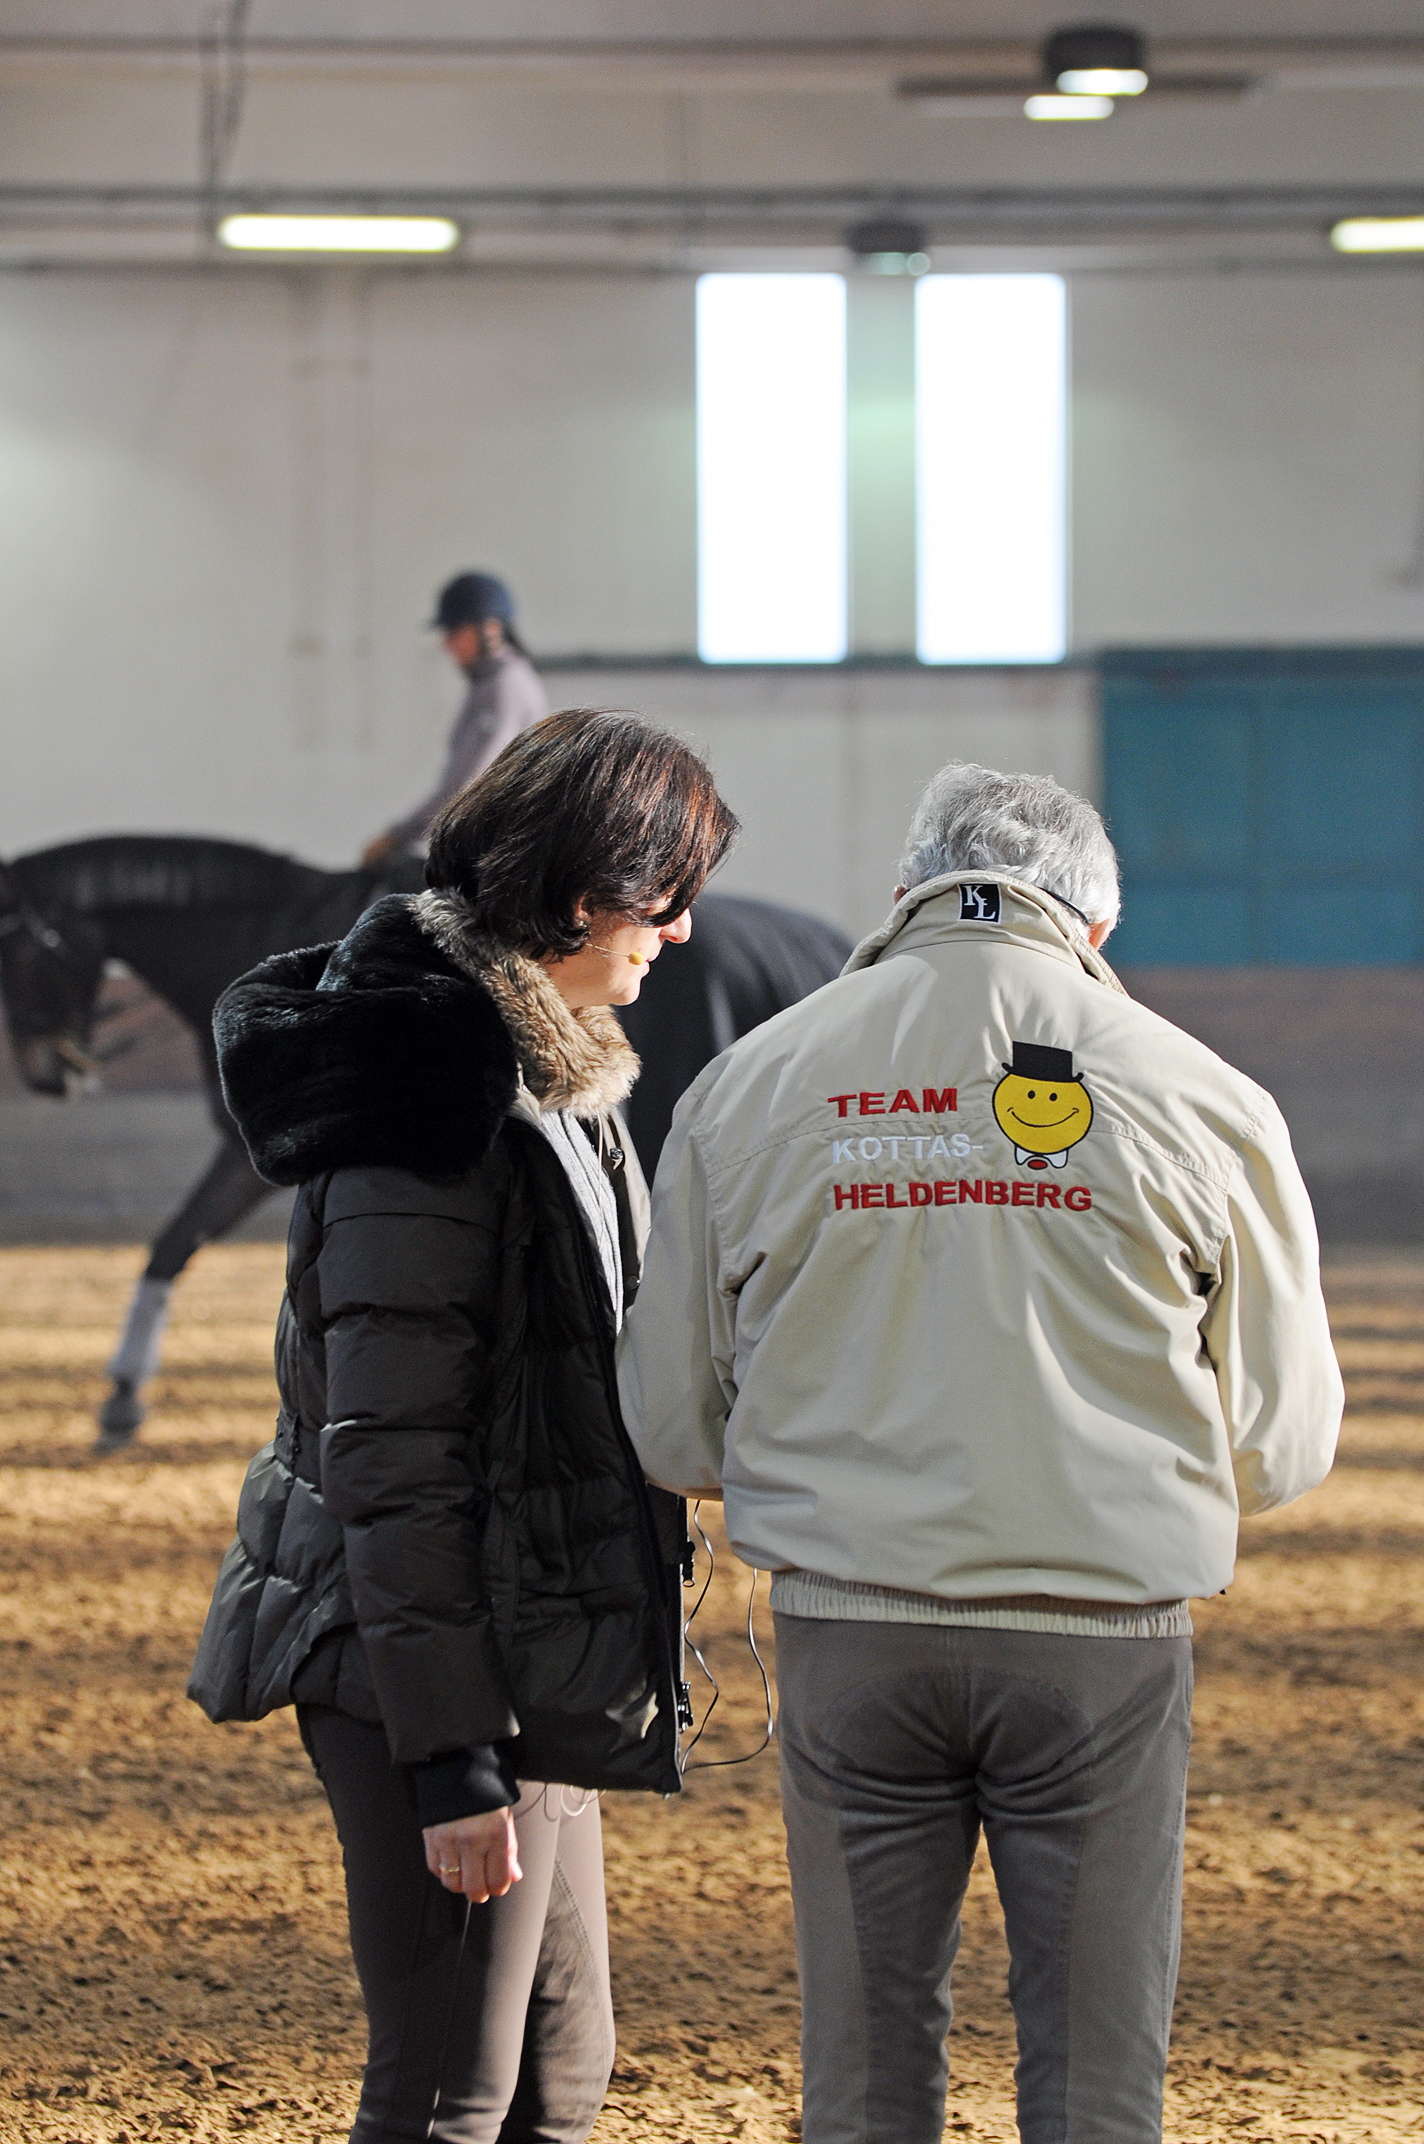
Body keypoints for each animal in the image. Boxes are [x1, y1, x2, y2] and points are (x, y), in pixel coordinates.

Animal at [0, 840, 844, 1457]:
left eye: (26, 951)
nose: (51, 1073)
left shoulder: (257, 1153)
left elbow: (178, 1240)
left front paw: (123, 1394)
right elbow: (176, 1245)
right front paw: (124, 1396)